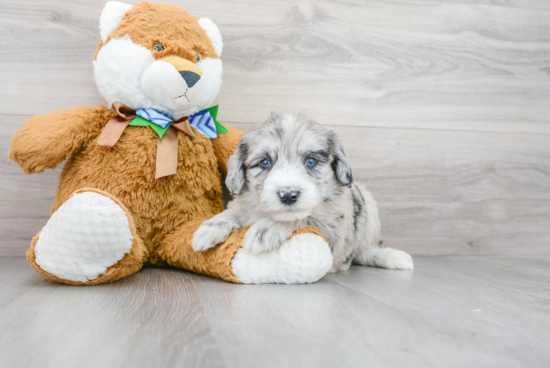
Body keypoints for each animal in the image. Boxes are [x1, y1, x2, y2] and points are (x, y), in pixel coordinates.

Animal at [194, 110, 414, 272]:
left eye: (311, 161)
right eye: (265, 163)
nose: (288, 195)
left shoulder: (333, 232)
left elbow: (304, 218)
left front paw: (267, 228)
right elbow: (234, 211)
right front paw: (209, 228)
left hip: (368, 206)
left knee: (365, 250)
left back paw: (392, 257)